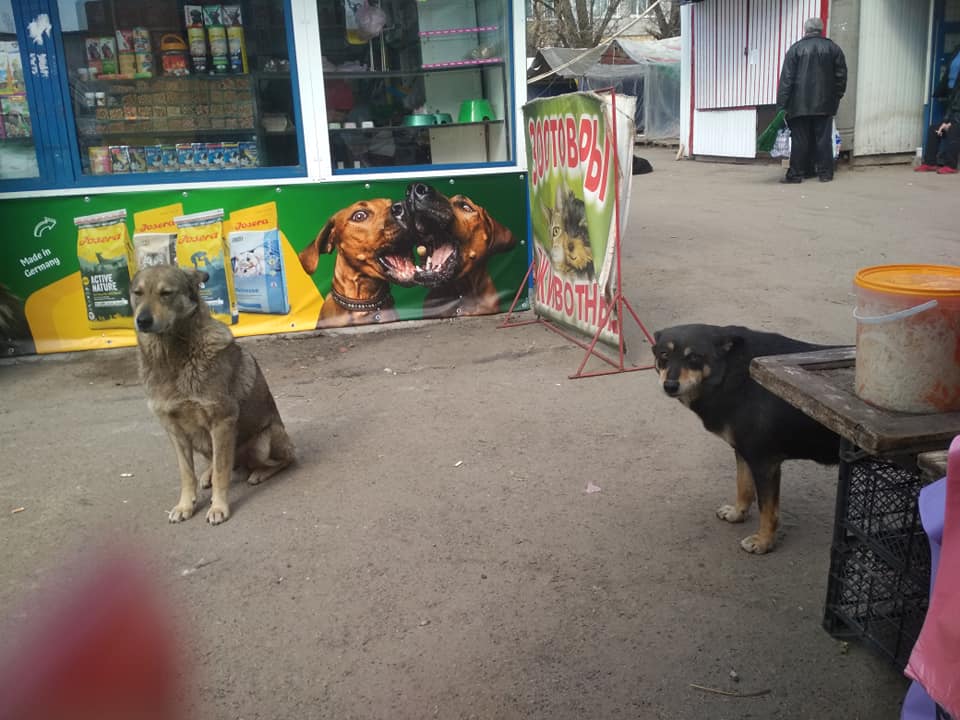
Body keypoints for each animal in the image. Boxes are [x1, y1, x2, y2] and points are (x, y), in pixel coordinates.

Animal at [131, 268, 294, 524]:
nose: (142, 320)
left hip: (263, 442)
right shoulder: (174, 430)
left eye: (166, 293)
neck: (172, 358)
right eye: (137, 293)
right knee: (216, 462)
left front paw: (218, 507)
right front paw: (185, 505)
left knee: (281, 460)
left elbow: (220, 473)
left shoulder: (222, 422)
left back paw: (259, 473)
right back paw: (206, 474)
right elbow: (186, 473)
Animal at [652, 324, 840, 556]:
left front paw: (764, 542)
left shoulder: (764, 462)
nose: (669, 385)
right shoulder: (743, 452)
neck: (730, 372)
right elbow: (744, 486)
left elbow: (768, 510)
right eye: (664, 354)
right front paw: (737, 514)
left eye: (694, 357)